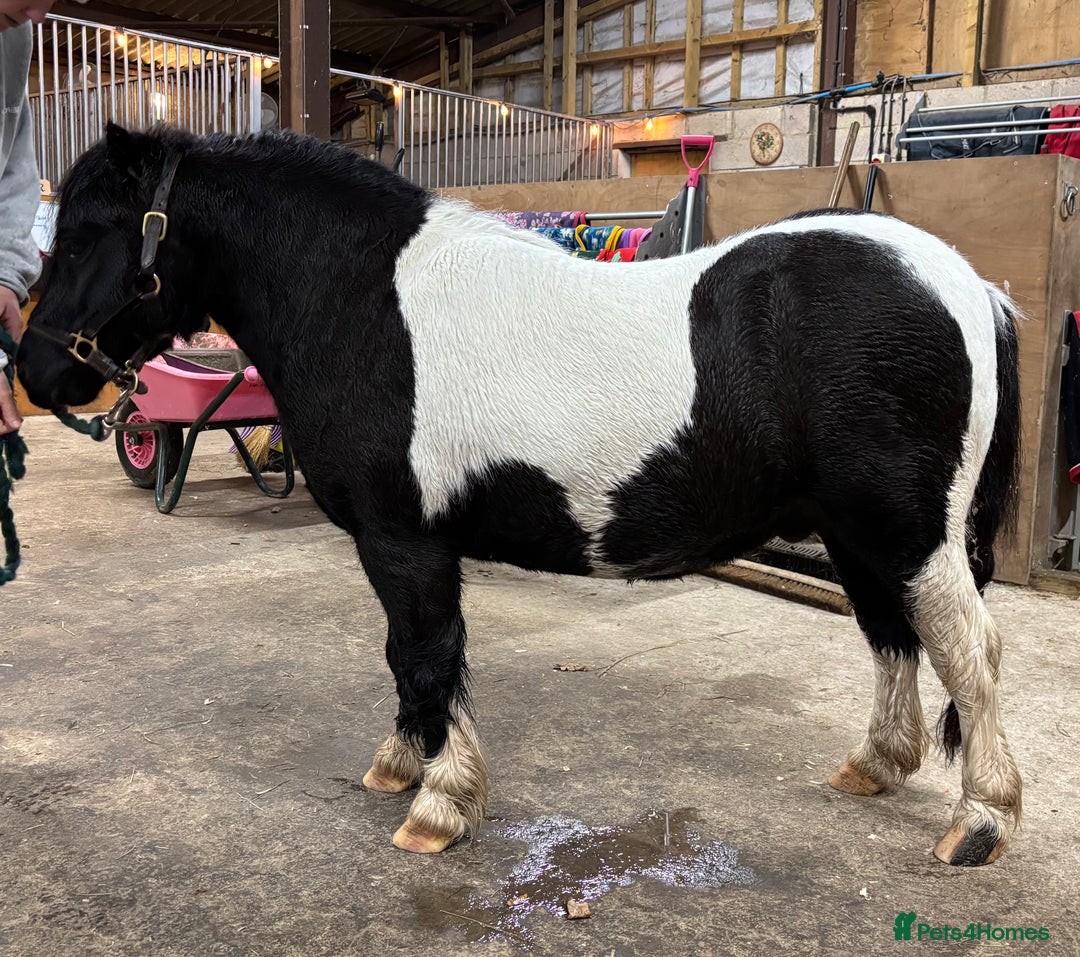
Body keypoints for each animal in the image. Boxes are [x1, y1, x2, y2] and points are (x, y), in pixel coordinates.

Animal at [17, 123, 1023, 867]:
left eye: (84, 233)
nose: (33, 374)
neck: (363, 298)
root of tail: (968, 284)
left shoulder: (404, 539)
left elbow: (425, 653)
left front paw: (439, 803)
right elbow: (405, 659)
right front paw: (402, 763)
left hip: (908, 534)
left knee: (968, 647)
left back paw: (982, 818)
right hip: (857, 533)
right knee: (893, 638)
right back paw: (875, 765)